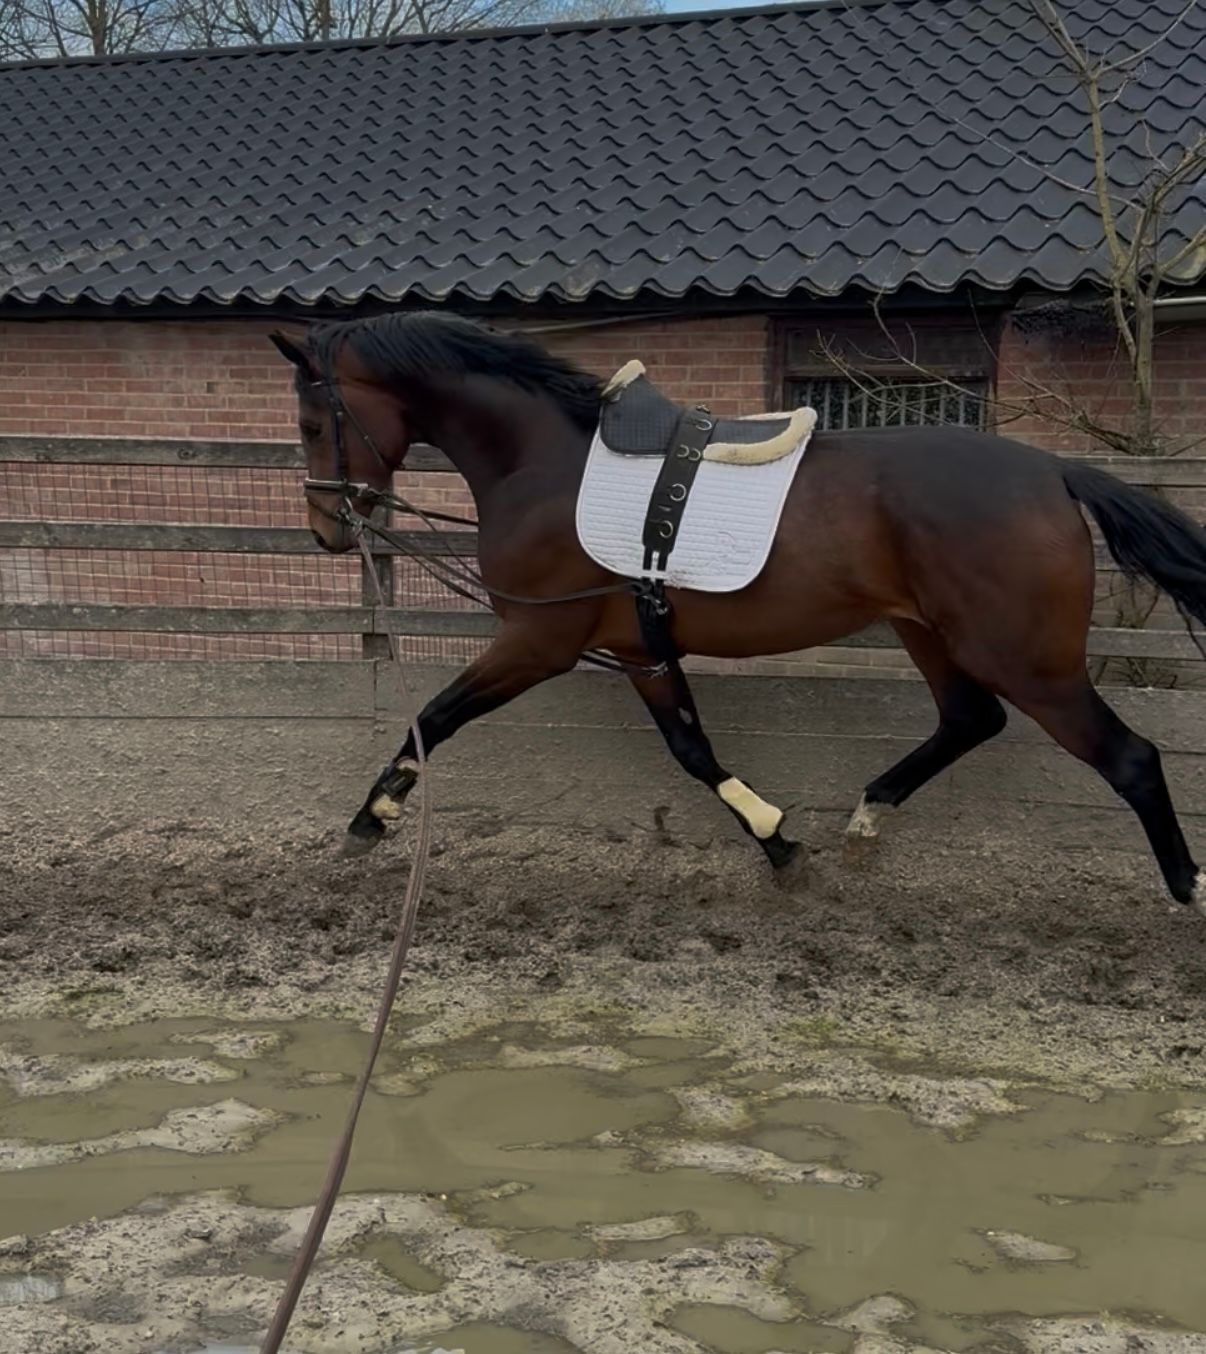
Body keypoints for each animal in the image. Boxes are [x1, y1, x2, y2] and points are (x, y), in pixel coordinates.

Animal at [271, 311, 1206, 915]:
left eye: (313, 420)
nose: (326, 527)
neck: (543, 464)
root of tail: (1054, 472)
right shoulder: (640, 649)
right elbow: (693, 750)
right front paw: (779, 843)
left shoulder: (539, 640)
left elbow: (434, 716)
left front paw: (370, 820)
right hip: (929, 632)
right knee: (969, 720)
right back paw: (866, 818)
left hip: (1027, 658)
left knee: (1130, 758)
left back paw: (1188, 889)